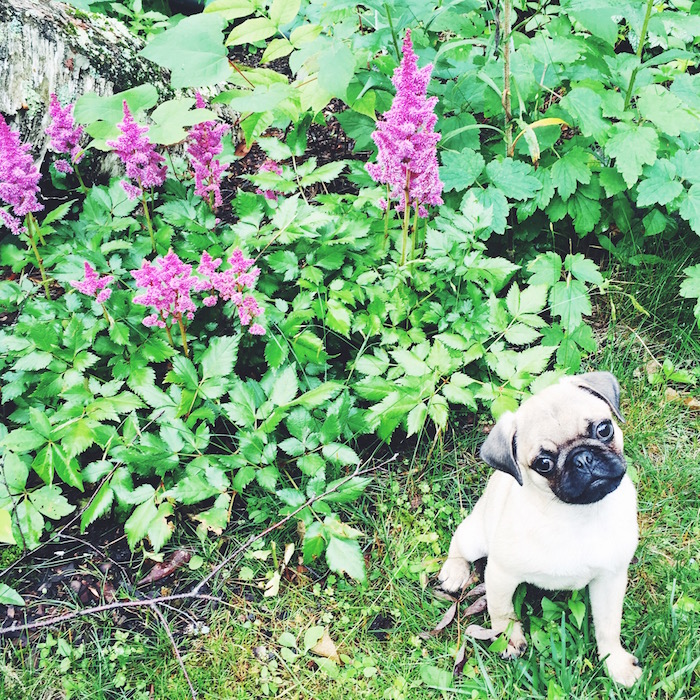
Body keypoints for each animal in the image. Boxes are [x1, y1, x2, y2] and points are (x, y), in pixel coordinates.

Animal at [440, 374, 644, 688]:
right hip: (476, 536)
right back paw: (454, 572)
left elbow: (608, 626)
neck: (576, 516)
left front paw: (617, 665)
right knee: (459, 542)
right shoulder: (500, 575)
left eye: (604, 429)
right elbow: (502, 612)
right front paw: (510, 639)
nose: (582, 458)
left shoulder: (610, 579)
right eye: (544, 464)